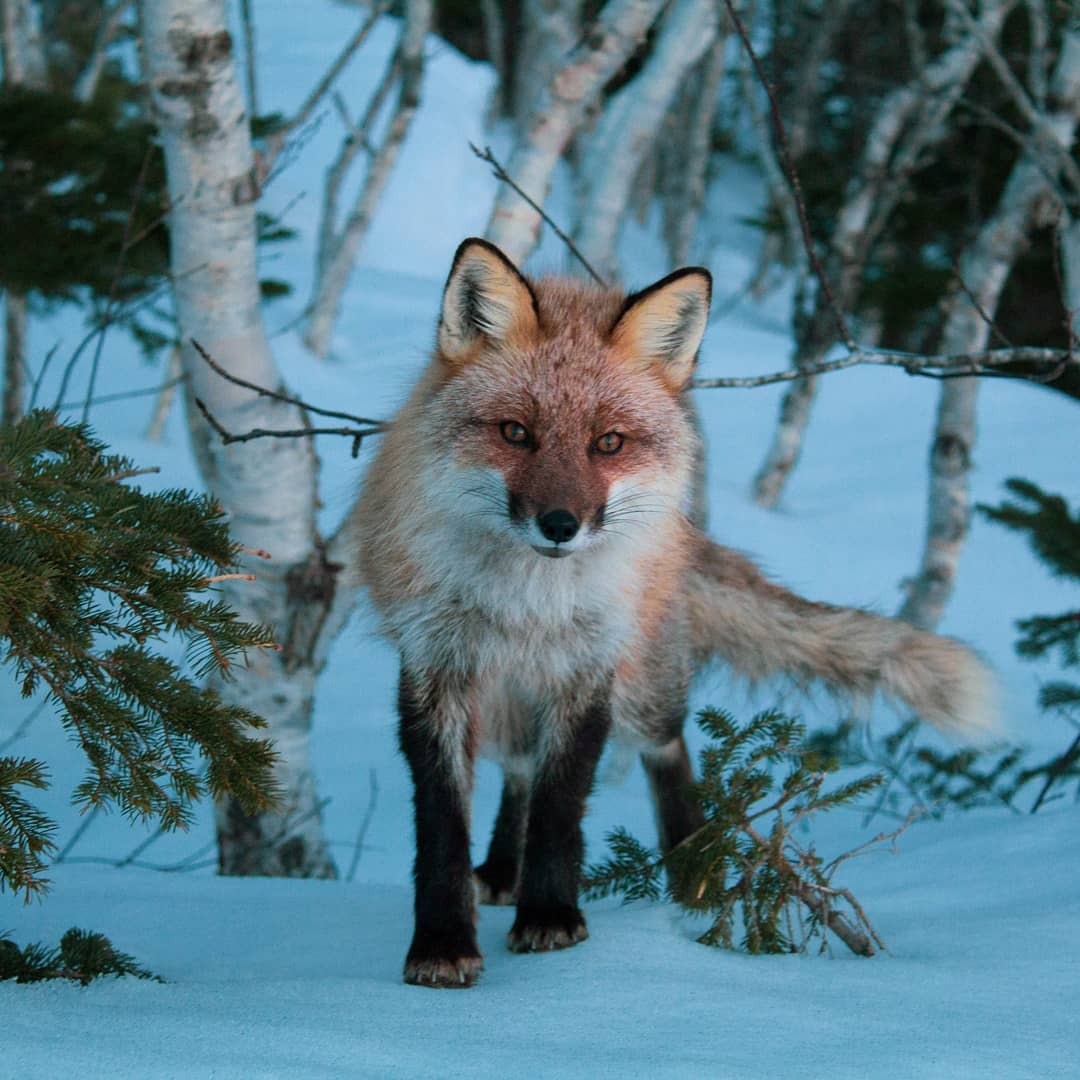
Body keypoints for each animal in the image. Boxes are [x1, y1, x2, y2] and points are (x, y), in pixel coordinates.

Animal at [352, 236, 993, 989]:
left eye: (608, 442)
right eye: (515, 433)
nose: (561, 525)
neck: (527, 603)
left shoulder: (589, 669)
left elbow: (561, 806)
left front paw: (552, 917)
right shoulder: (436, 668)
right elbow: (444, 825)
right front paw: (444, 942)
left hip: (639, 687)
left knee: (665, 744)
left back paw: (693, 873)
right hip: (509, 701)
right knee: (519, 771)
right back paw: (506, 871)